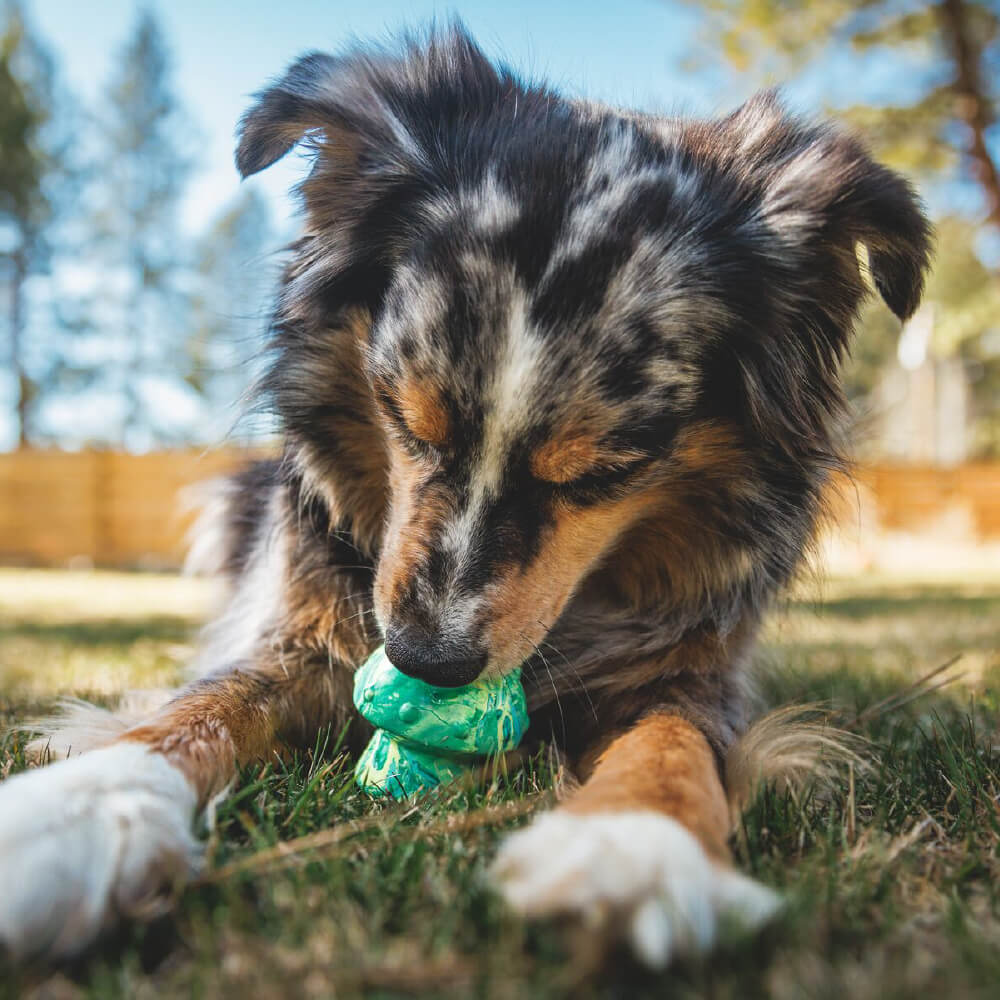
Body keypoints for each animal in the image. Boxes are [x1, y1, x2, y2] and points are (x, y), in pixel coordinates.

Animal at [0, 25, 928, 968]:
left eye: (605, 473)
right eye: (405, 419)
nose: (424, 661)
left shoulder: (691, 667)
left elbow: (673, 741)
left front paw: (633, 845)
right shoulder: (305, 631)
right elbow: (201, 706)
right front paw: (68, 817)